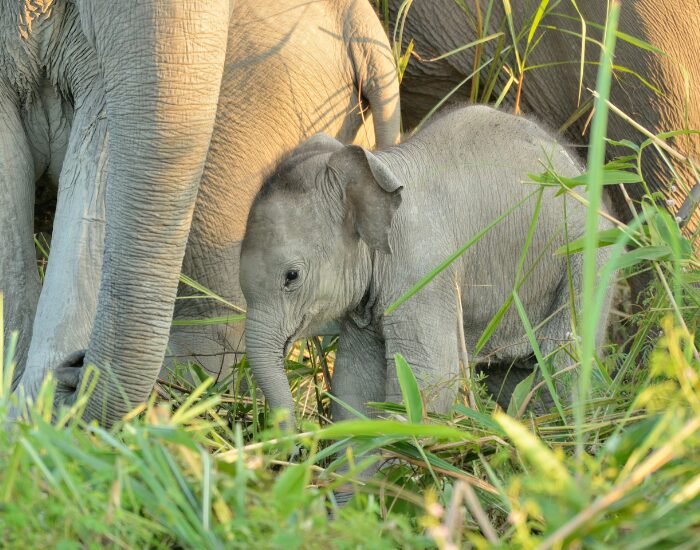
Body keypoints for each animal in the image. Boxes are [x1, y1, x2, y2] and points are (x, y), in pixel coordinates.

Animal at [239, 105, 615, 424]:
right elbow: (355, 386)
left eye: (292, 277)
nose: (293, 446)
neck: (378, 169)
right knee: (515, 379)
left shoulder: (424, 273)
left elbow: (427, 380)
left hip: (586, 258)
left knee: (564, 366)